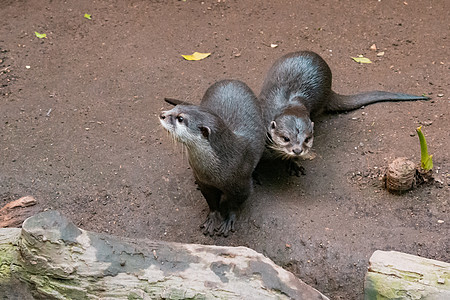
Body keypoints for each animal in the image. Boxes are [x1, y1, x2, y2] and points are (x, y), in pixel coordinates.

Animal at [159, 79, 266, 237]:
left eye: (180, 118)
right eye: (176, 108)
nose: (162, 114)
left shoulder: (242, 185)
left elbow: (236, 203)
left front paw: (229, 220)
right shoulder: (204, 182)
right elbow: (211, 201)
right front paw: (213, 218)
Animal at [258, 50, 428, 175]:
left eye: (307, 139)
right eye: (285, 138)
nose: (298, 150)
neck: (288, 102)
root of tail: (330, 91)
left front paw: (293, 163)